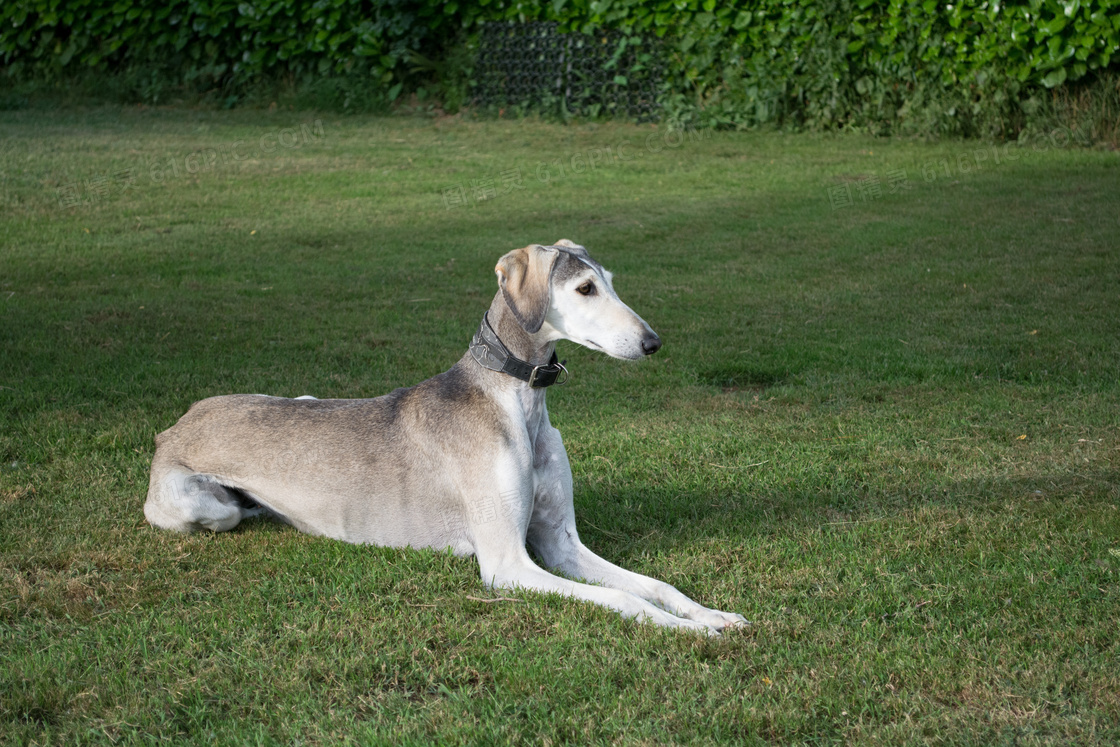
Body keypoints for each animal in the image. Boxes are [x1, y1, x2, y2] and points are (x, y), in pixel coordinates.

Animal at [144, 243, 748, 636]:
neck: (513, 400)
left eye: (612, 281)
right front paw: (690, 631)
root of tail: (175, 424)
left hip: (302, 398)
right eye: (584, 288)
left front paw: (711, 614)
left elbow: (654, 585)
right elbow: (625, 597)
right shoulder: (507, 565)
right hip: (205, 505)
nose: (653, 343)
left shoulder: (561, 543)